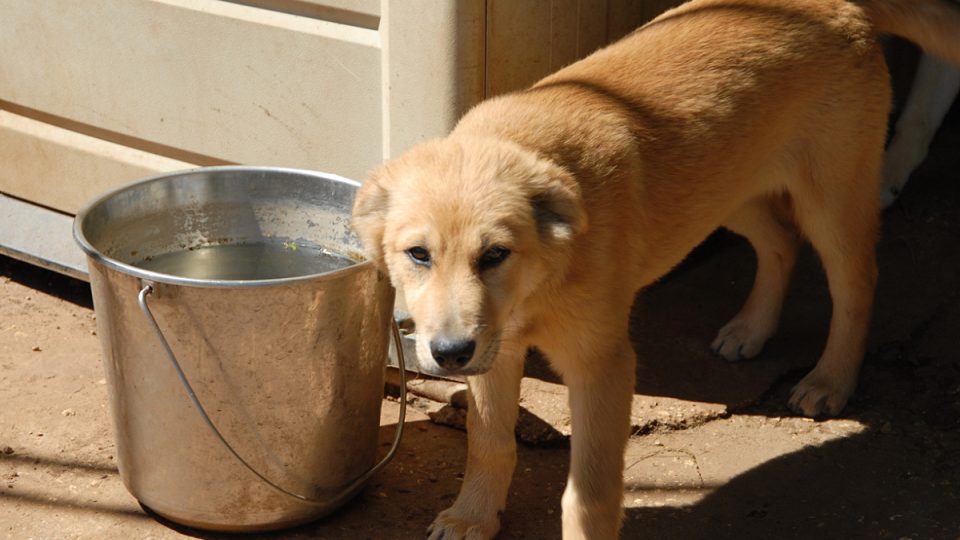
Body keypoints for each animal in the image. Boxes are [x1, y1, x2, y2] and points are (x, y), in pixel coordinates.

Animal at [348, 2, 960, 536]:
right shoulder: (496, 354)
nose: (449, 355)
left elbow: (589, 492)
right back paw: (752, 328)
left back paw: (831, 379)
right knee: (781, 242)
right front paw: (472, 517)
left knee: (856, 282)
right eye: (418, 255)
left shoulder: (602, 365)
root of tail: (838, 6)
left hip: (831, 198)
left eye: (495, 254)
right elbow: (490, 443)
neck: (543, 276)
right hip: (724, 193)